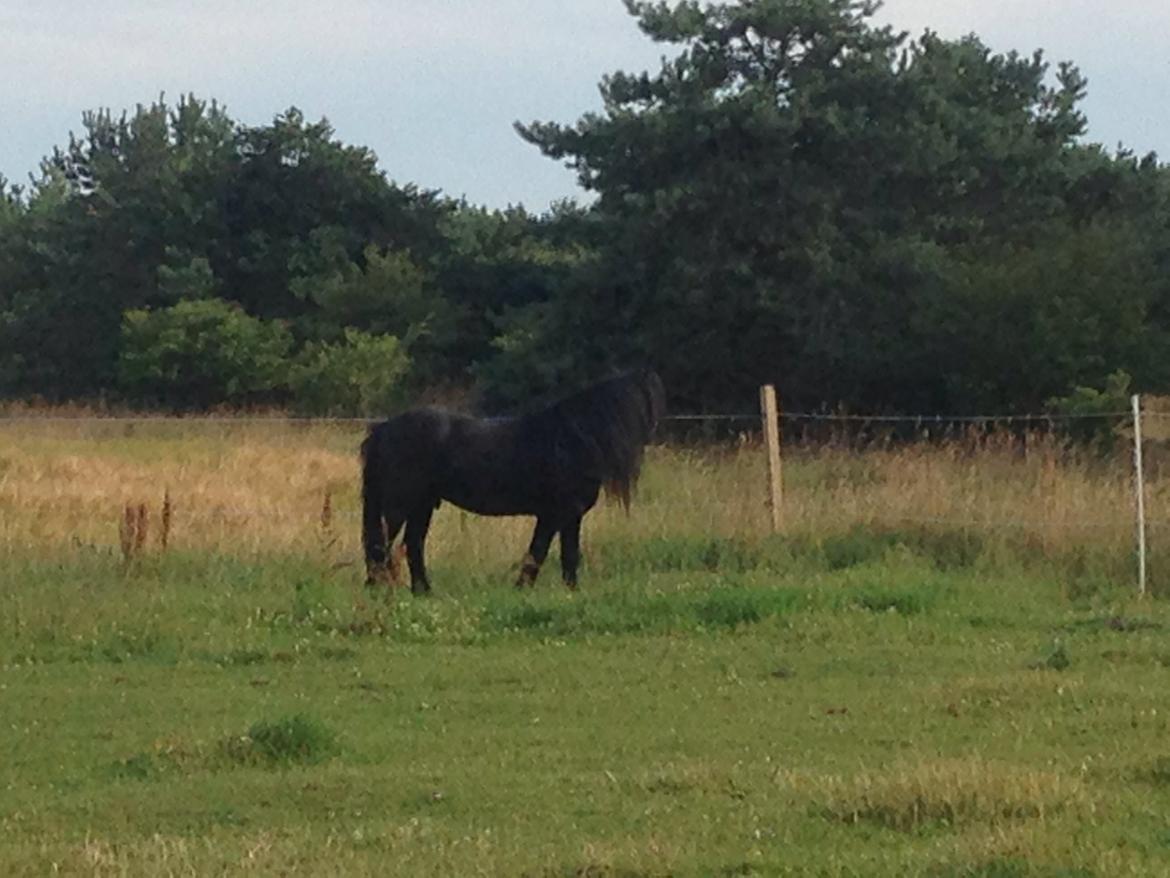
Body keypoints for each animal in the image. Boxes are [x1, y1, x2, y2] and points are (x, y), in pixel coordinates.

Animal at [360, 369, 665, 594]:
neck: (571, 440)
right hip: (399, 506)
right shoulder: (559, 514)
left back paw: (422, 591)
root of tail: (382, 430)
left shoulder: (563, 517)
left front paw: (561, 591)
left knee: (412, 544)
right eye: (647, 403)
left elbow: (559, 554)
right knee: (384, 546)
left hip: (421, 506)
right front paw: (529, 589)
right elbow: (546, 552)